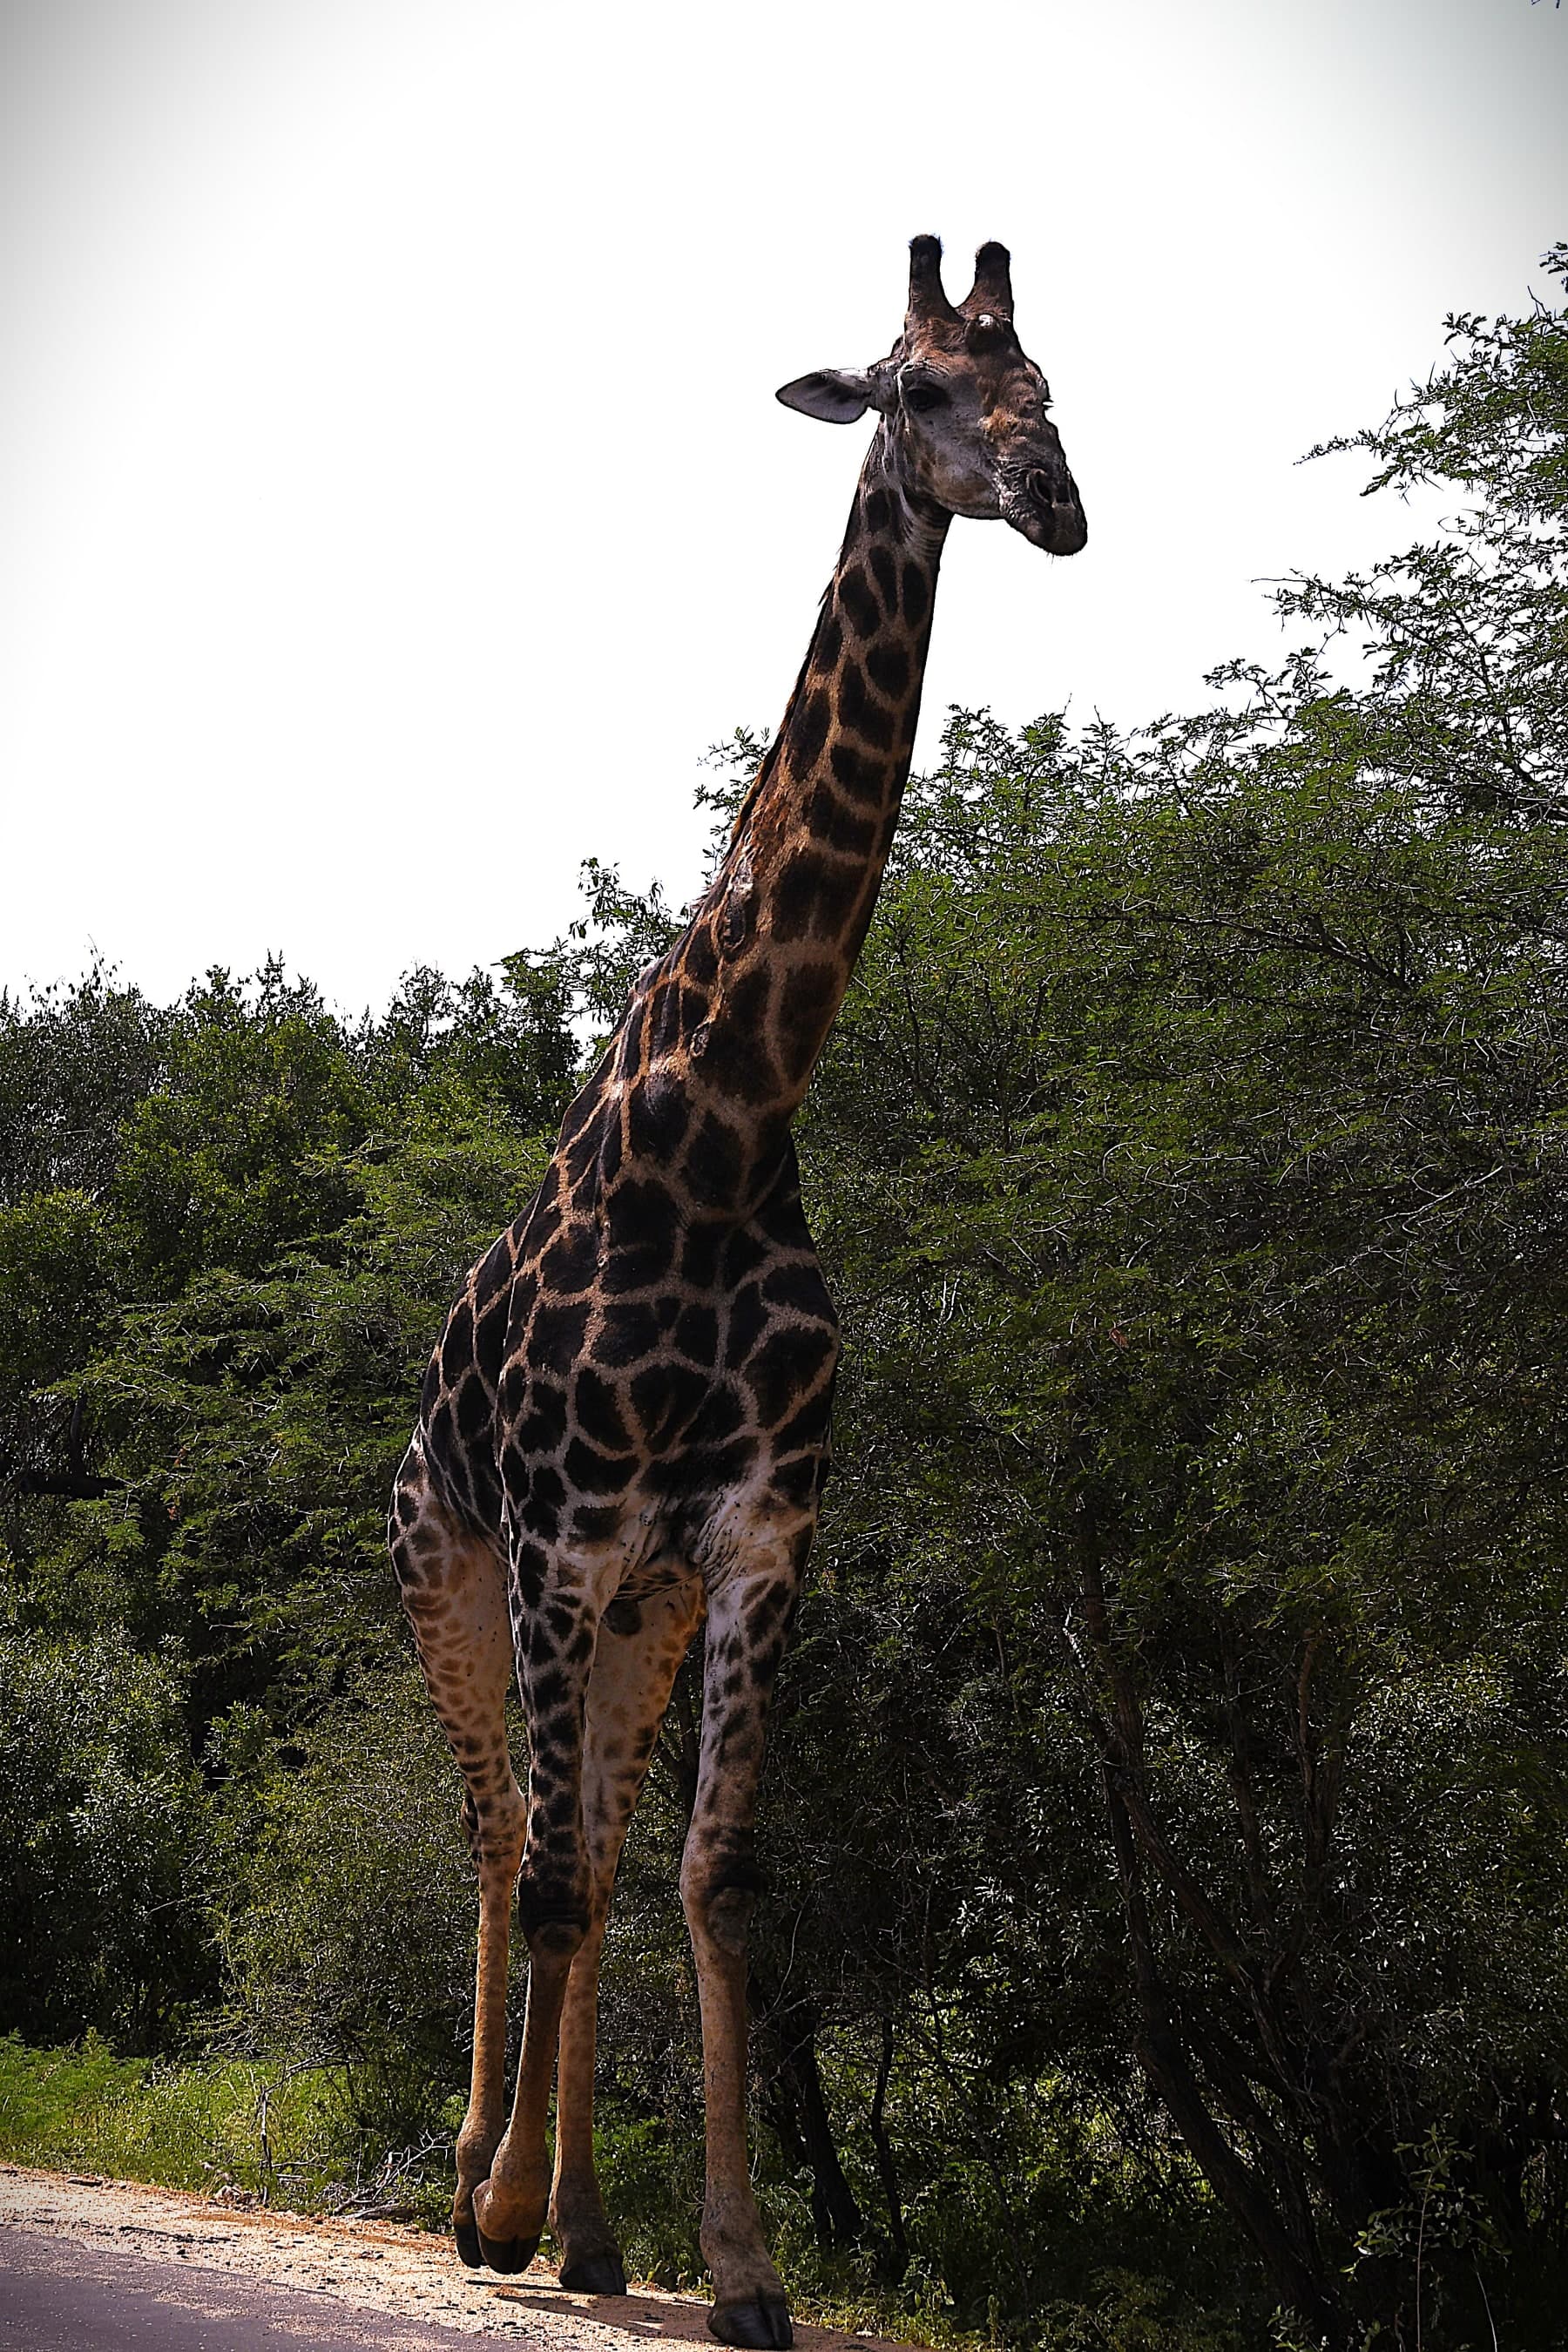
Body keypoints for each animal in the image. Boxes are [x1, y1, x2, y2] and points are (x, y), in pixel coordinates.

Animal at [390, 235, 1086, 2349]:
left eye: (1050, 383)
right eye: (914, 390)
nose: (1060, 504)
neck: (728, 1115)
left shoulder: (760, 1531)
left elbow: (715, 1877)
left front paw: (740, 2266)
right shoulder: (556, 1533)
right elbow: (549, 1878)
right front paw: (504, 2212)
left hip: (642, 1607)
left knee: (601, 1848)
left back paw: (592, 2230)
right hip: (454, 1575)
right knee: (502, 1838)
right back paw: (484, 2188)